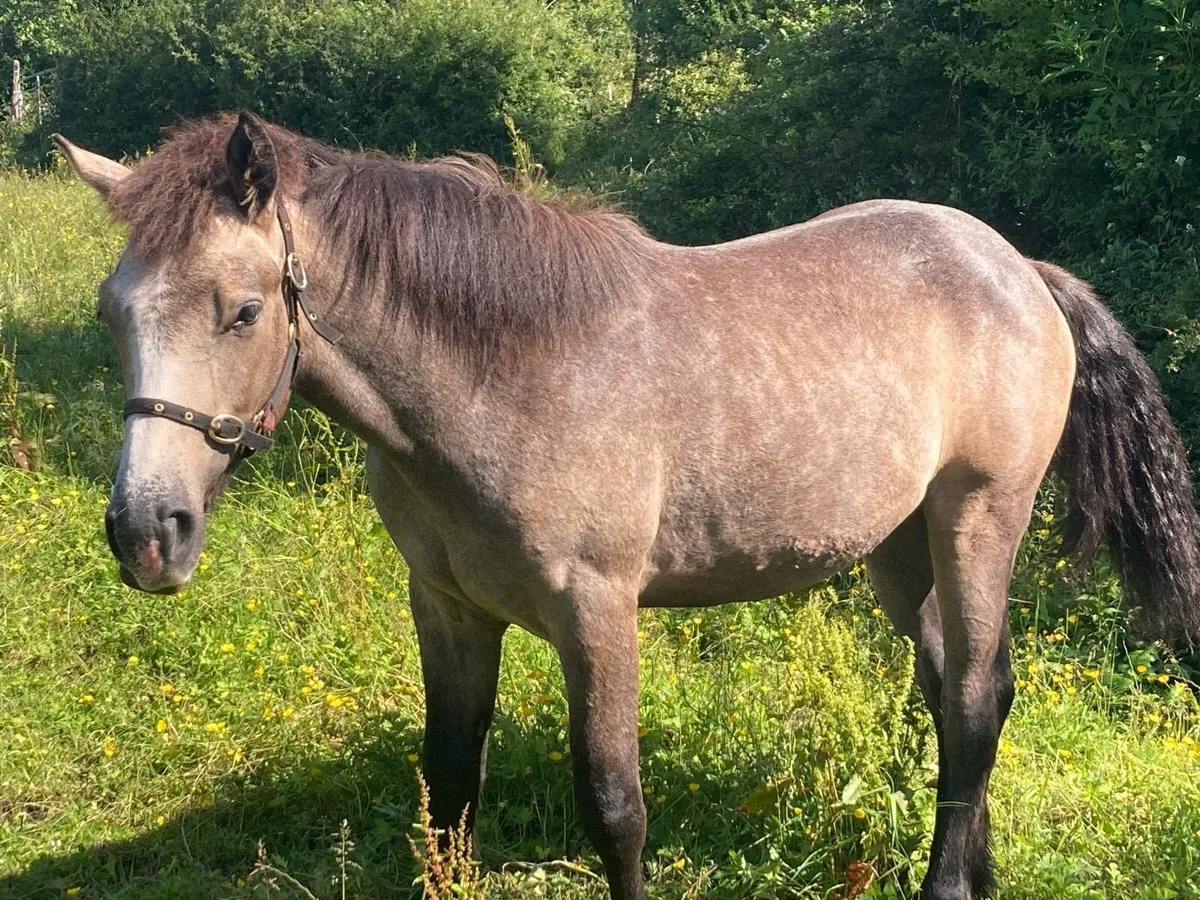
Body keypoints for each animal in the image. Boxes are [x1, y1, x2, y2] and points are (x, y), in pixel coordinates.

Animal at [54, 112, 1200, 900]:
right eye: (112, 311)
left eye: (243, 311)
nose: (145, 532)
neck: (508, 374)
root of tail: (1021, 270)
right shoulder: (447, 608)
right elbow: (448, 786)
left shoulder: (596, 613)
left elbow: (613, 806)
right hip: (899, 546)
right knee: (960, 690)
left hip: (979, 516)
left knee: (971, 697)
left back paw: (948, 884)